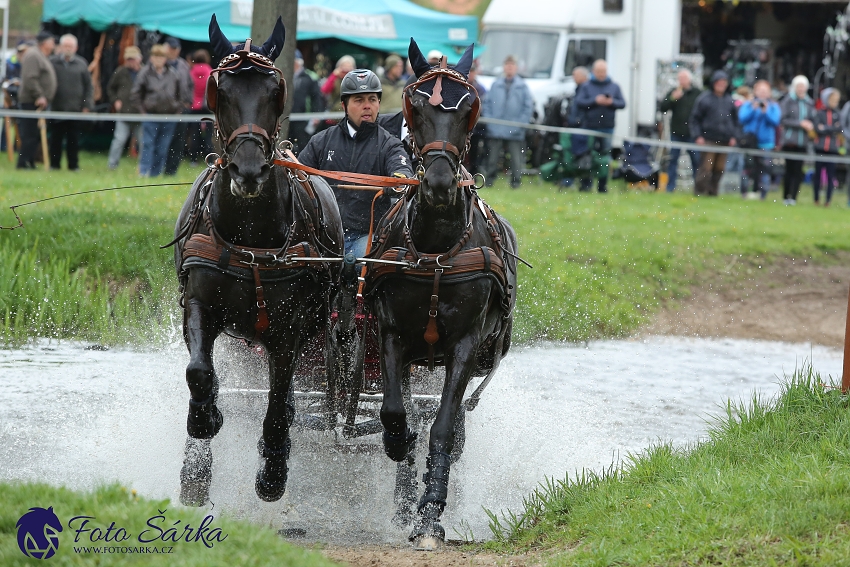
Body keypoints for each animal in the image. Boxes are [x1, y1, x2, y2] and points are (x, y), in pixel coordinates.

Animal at [171, 15, 342, 508]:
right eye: (220, 89)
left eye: (274, 90)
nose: (248, 170)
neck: (251, 235)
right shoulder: (200, 306)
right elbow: (199, 374)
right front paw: (204, 424)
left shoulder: (288, 330)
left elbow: (277, 403)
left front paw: (272, 471)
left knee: (283, 398)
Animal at [362, 38, 516, 544]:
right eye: (415, 105)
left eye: (469, 108)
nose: (441, 185)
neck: (434, 248)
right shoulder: (392, 335)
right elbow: (396, 413)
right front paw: (402, 461)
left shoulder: (465, 346)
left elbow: (444, 428)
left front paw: (431, 512)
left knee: (458, 424)